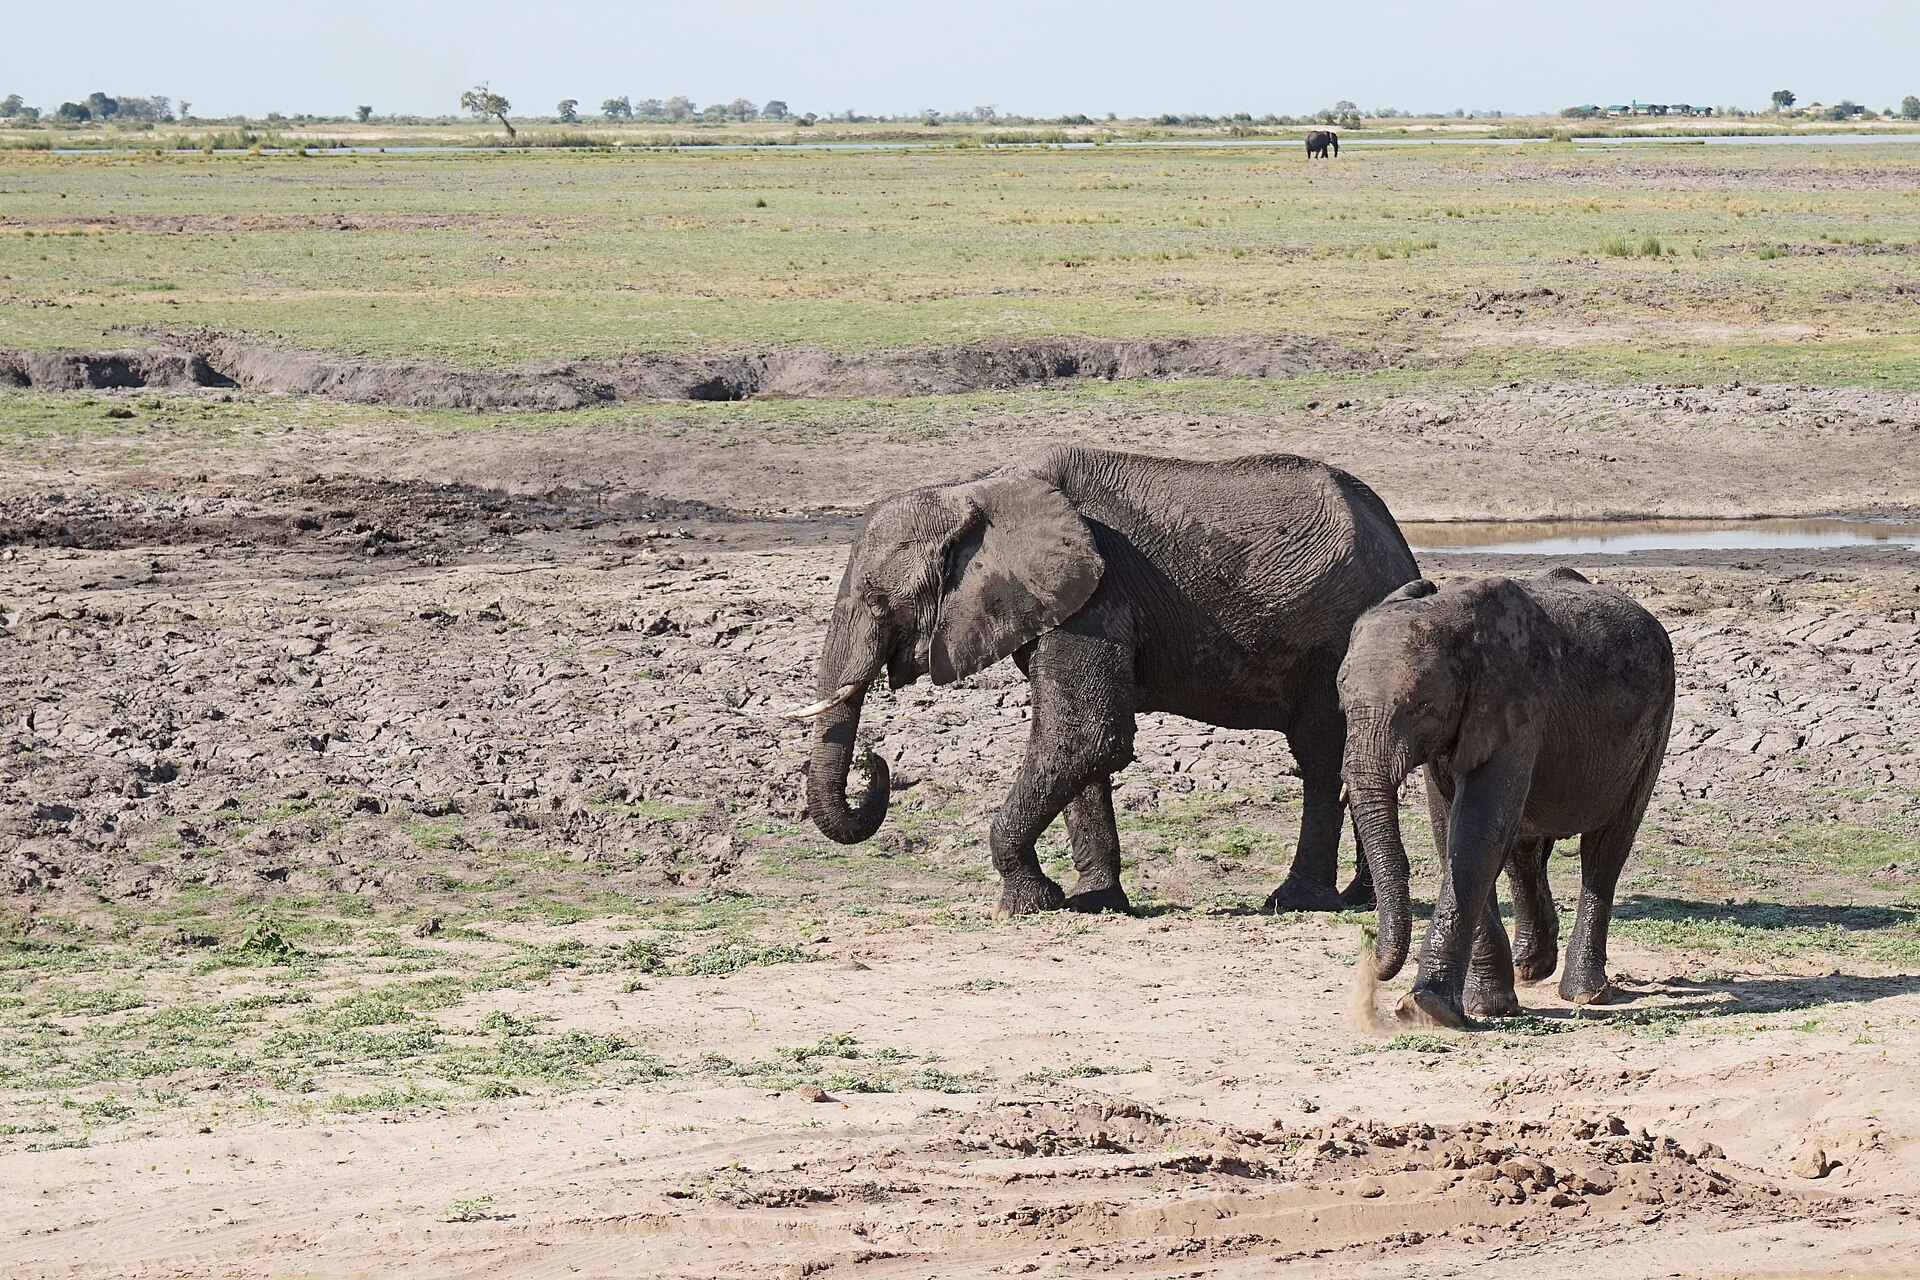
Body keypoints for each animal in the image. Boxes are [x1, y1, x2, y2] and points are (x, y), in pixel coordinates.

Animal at [789, 444, 1419, 918]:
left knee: (1321, 753)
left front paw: (1030, 902)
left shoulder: (1099, 596)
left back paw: (1297, 902)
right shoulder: (1059, 602)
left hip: (1337, 634)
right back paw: (1358, 899)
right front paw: (1095, 902)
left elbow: (1086, 736)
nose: (875, 760)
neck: (978, 491)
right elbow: (1076, 746)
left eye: (877, 602)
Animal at [1336, 568, 1674, 1028]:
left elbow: (1475, 832)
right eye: (1341, 700)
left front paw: (1427, 1008)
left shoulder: (1518, 704)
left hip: (1657, 723)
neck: (1451, 617)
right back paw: (1530, 968)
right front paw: (1486, 1006)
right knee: (1523, 849)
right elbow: (1451, 834)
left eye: (1421, 704)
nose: (1369, 943)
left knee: (1606, 848)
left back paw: (1586, 993)